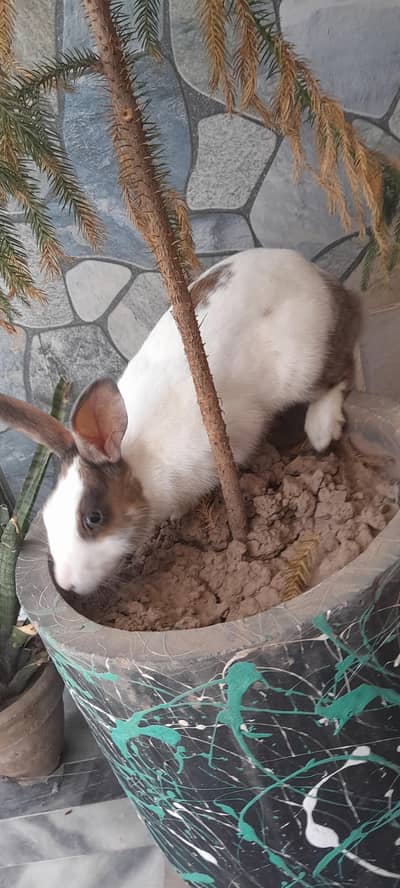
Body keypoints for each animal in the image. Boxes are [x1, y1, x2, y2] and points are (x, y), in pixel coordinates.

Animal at [0, 247, 361, 596]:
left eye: (94, 518)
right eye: (48, 516)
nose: (67, 584)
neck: (141, 472)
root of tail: (321, 278)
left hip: (303, 364)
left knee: (343, 371)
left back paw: (321, 430)